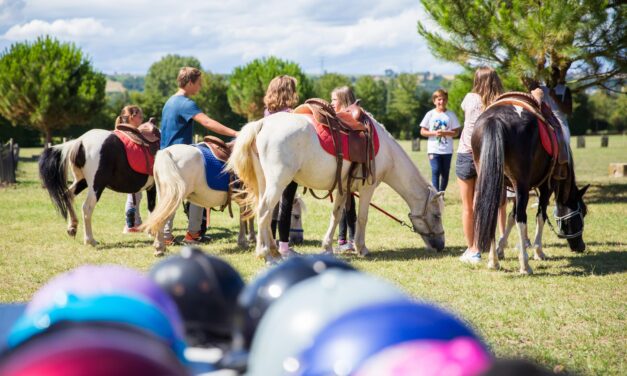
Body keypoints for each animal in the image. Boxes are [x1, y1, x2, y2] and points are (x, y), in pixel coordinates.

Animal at [228, 107, 444, 260]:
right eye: (437, 215)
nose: (441, 245)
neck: (387, 151)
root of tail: (262, 124)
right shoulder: (367, 188)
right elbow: (362, 218)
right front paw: (361, 248)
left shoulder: (343, 189)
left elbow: (336, 215)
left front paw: (328, 247)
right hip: (278, 183)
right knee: (264, 211)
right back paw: (266, 252)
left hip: (264, 182)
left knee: (262, 212)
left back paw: (268, 250)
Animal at [476, 92, 588, 274]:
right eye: (583, 212)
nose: (580, 246)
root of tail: (495, 118)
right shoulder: (545, 187)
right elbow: (540, 216)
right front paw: (538, 251)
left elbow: (510, 216)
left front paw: (500, 249)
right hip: (520, 185)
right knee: (522, 218)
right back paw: (525, 265)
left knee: (491, 212)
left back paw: (493, 261)